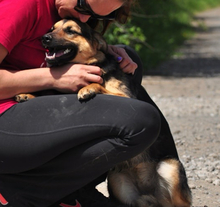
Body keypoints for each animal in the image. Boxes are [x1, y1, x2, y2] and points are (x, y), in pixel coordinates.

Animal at [15, 18, 192, 206]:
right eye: (51, 28)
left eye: (70, 31)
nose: (45, 38)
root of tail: (150, 195)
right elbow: (50, 92)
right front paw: (28, 94)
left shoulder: (127, 97)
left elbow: (99, 84)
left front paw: (88, 88)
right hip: (117, 179)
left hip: (170, 167)